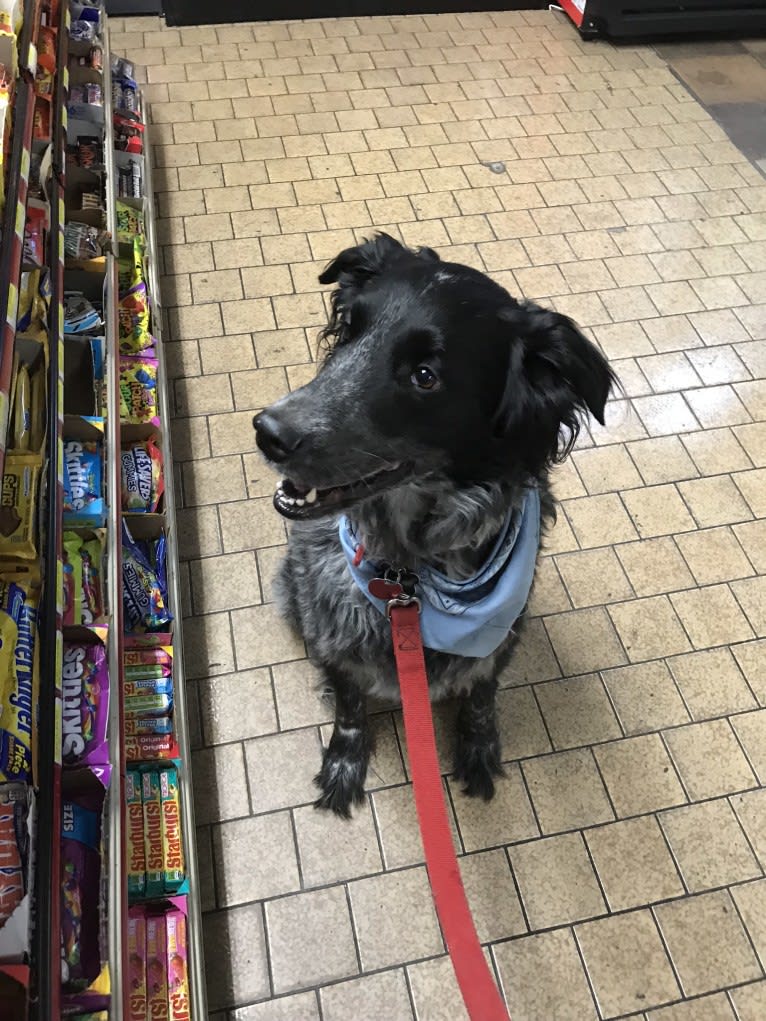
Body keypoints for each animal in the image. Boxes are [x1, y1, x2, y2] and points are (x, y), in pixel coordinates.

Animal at [255, 234, 616, 816]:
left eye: (424, 376)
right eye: (349, 330)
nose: (268, 432)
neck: (409, 577)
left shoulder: (501, 638)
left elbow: (481, 697)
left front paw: (478, 749)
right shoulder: (331, 635)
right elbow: (350, 708)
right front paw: (343, 764)